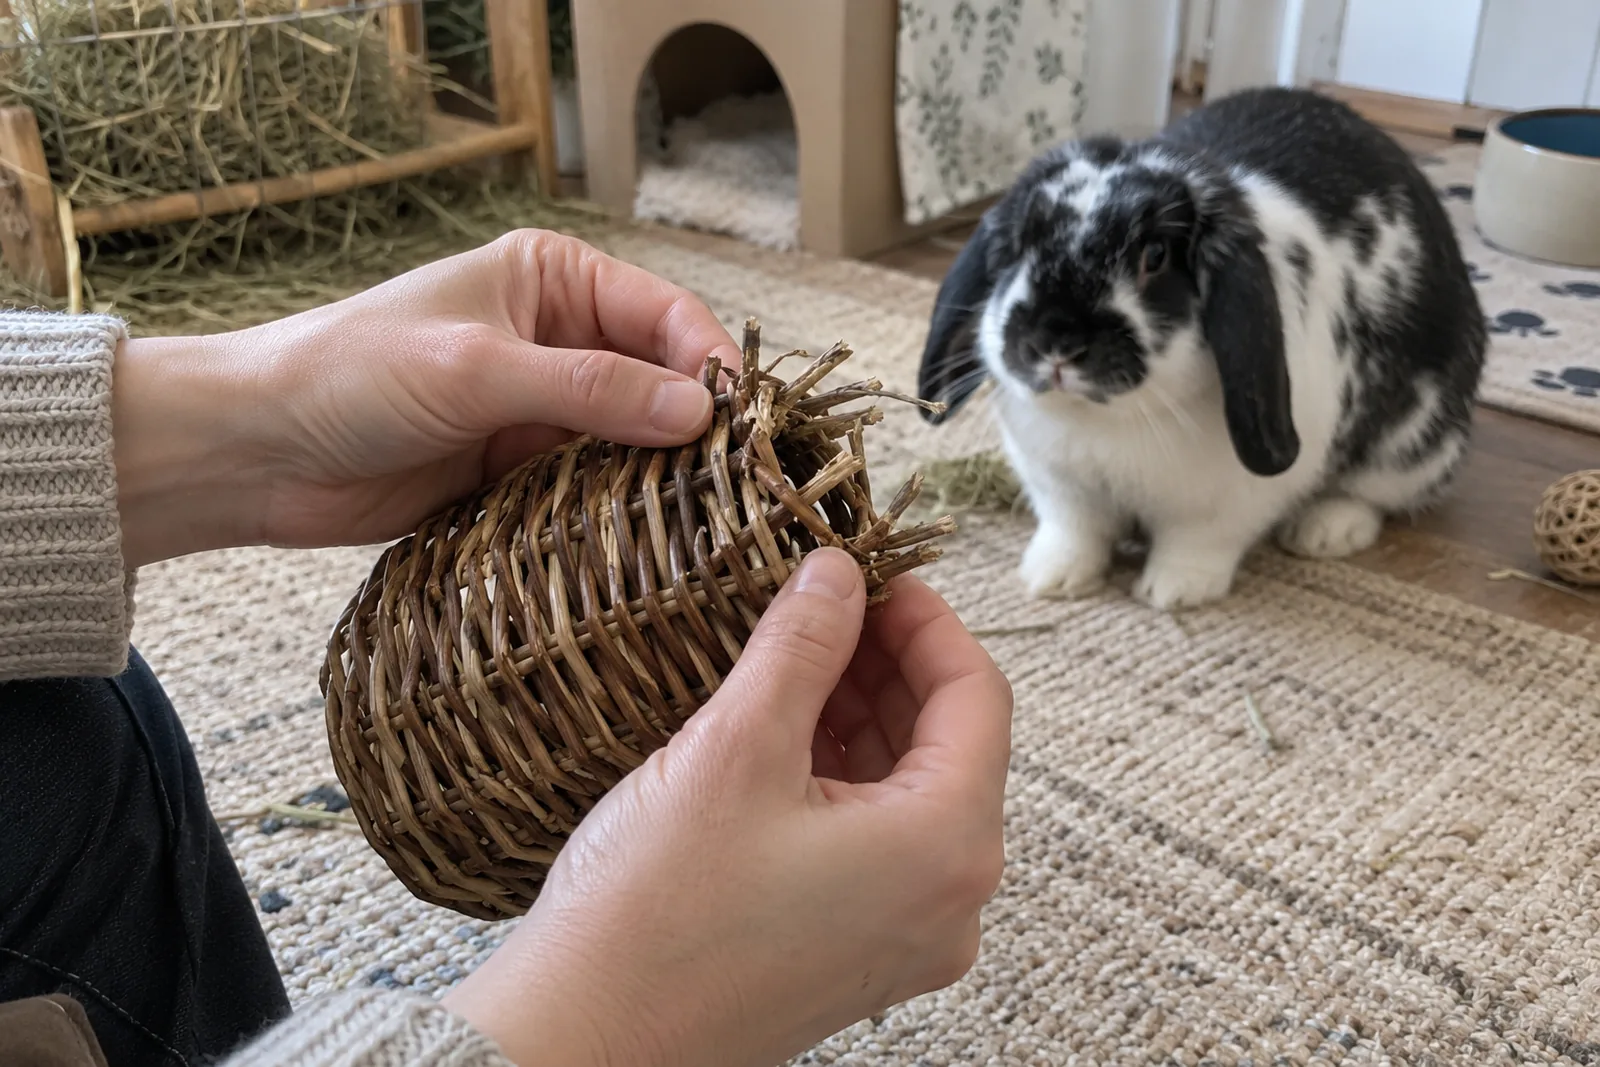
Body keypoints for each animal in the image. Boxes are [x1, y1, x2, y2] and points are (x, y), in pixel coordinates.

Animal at [915, 86, 1485, 611]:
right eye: (1019, 247)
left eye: (1155, 256)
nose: (1056, 340)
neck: (1110, 419)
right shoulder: (1062, 489)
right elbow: (1076, 531)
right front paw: (1053, 578)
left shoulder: (1225, 506)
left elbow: (1197, 544)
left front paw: (1172, 592)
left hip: (1413, 446)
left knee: (1376, 495)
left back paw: (1325, 531)